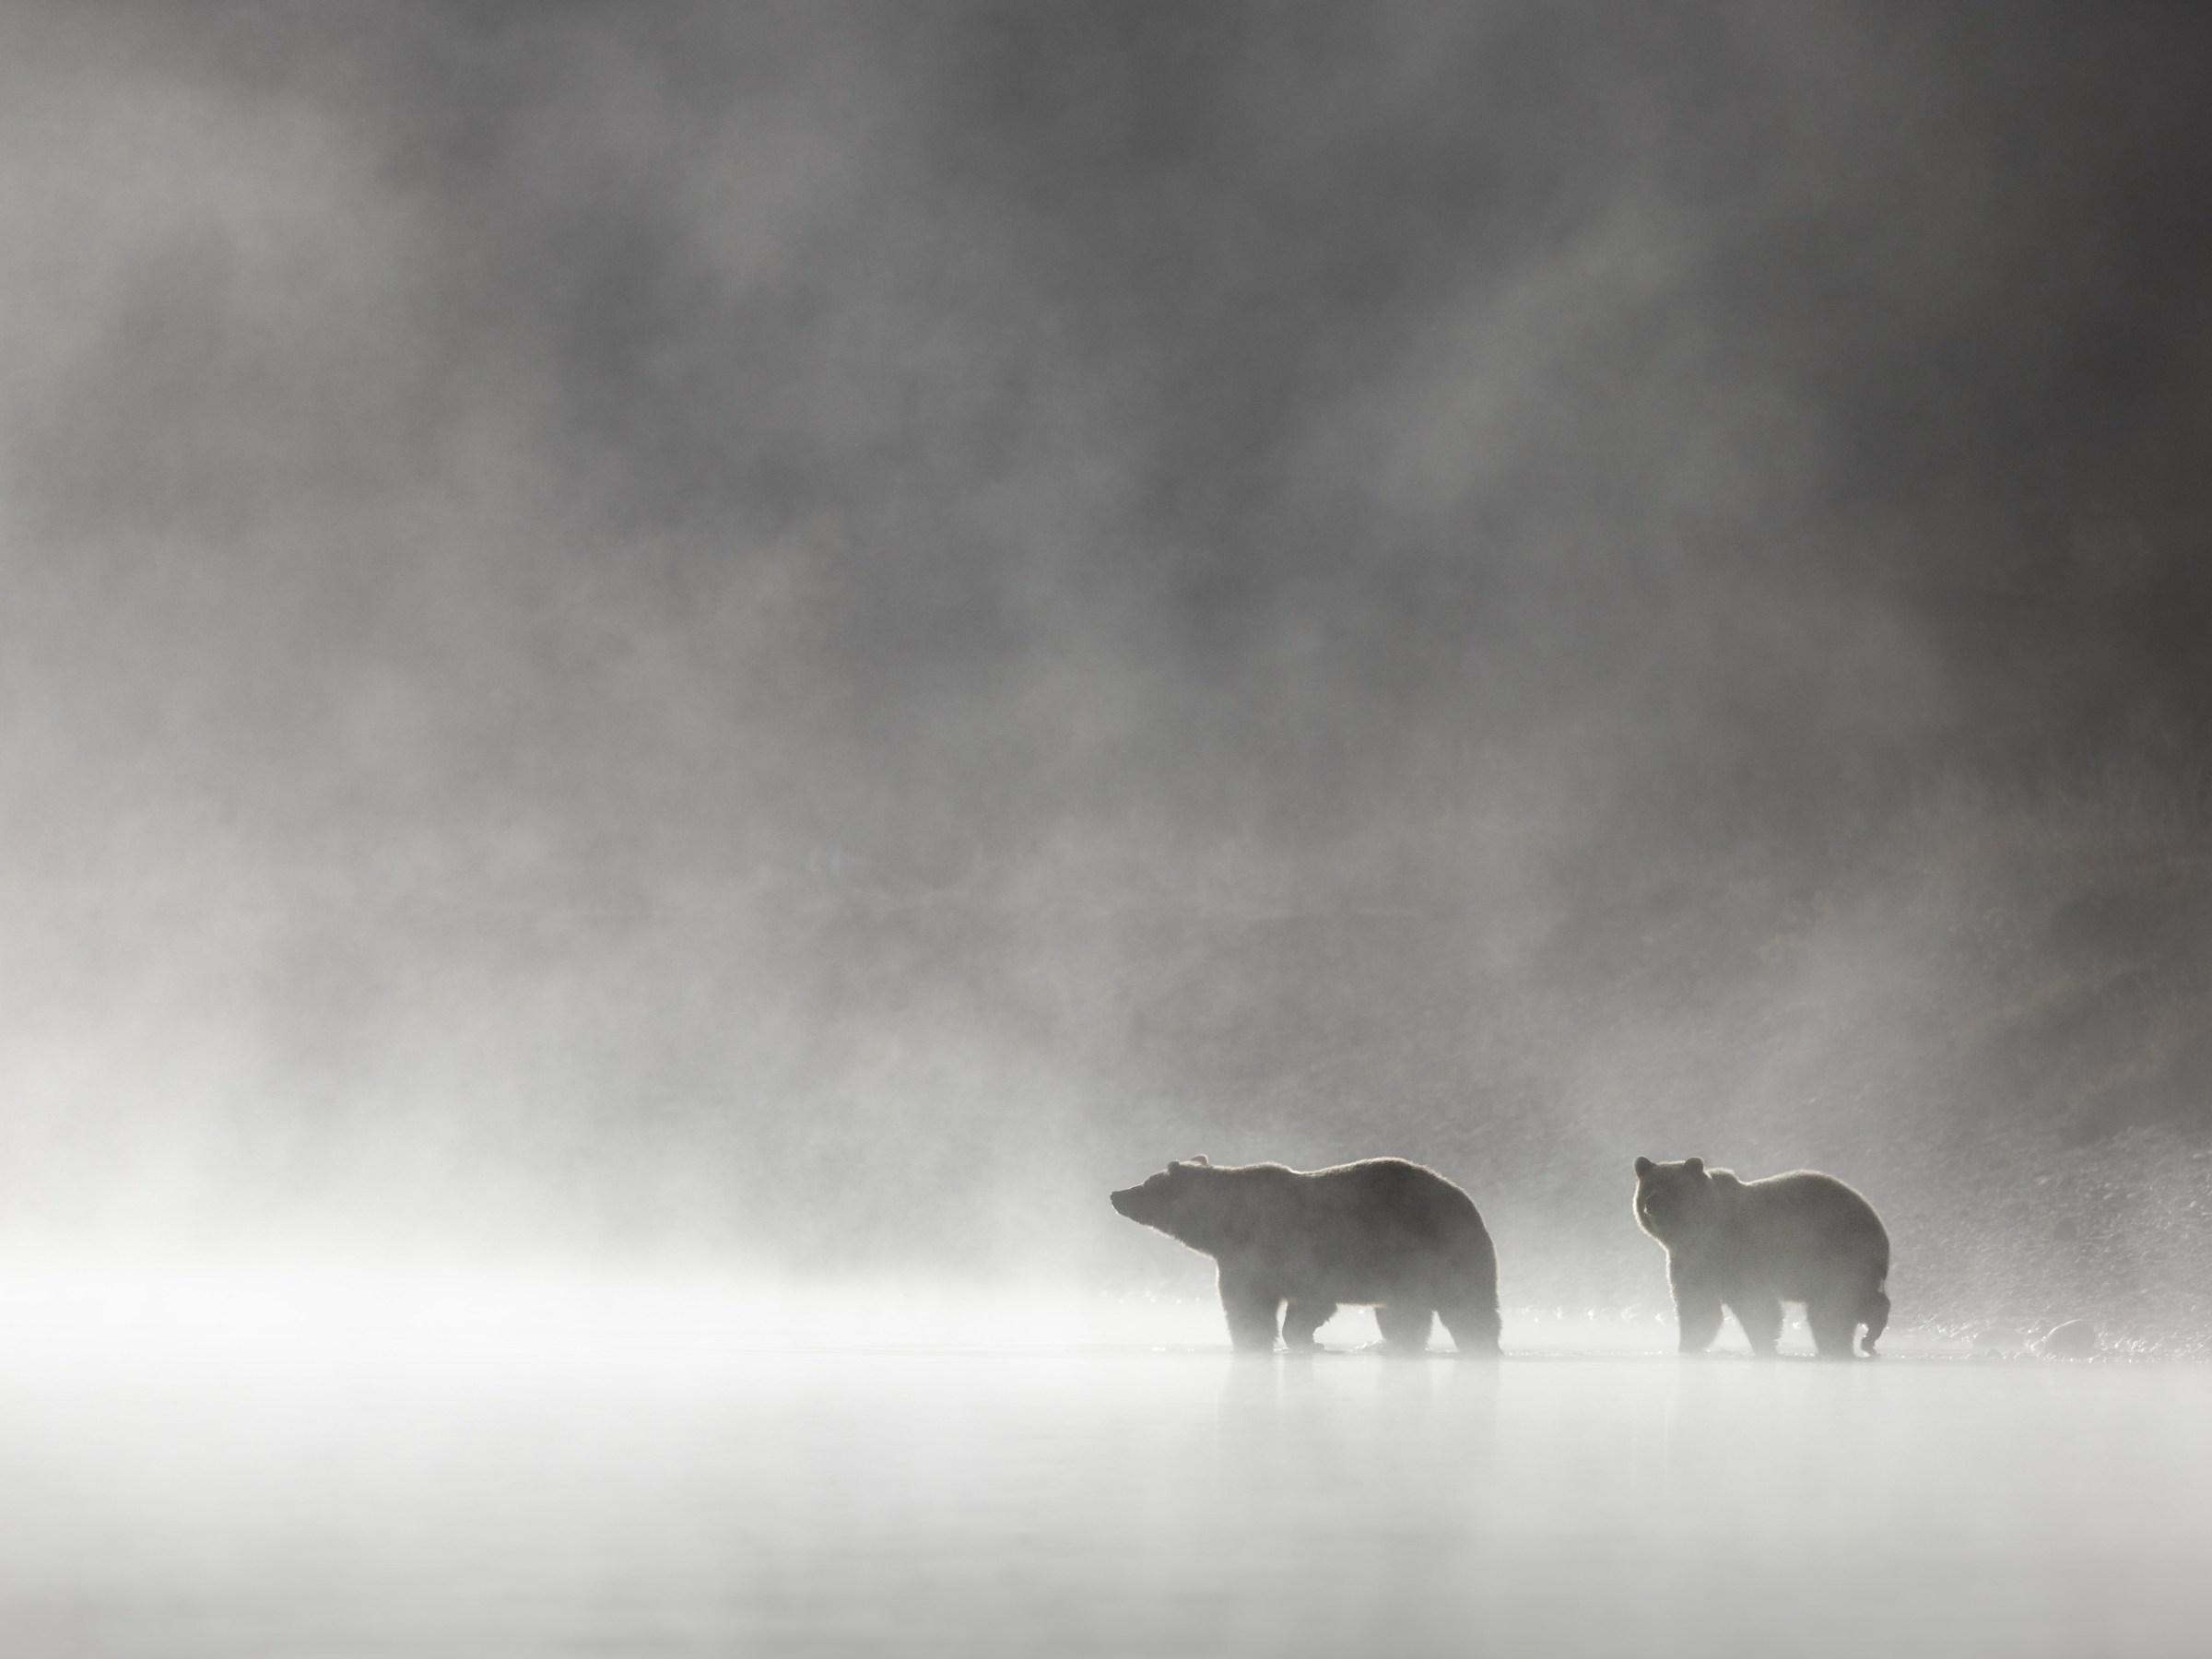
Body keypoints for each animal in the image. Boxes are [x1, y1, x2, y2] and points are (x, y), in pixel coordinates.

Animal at [1109, 1155, 1500, 1355]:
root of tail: (1469, 1203)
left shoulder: (1274, 1253)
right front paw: (1300, 1340)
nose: (1116, 1193)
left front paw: (1259, 1340)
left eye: (1147, 1183)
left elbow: (1252, 1305)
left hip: (1436, 1253)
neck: (1225, 1226)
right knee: (1403, 1315)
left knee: (1469, 1309)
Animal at [1632, 1156, 1891, 1359]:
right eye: (1649, 1185)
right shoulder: (1689, 1260)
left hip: (1839, 1254)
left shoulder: (1735, 1253)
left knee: (1837, 1306)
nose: (1652, 1202)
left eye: (1672, 1186)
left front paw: (1764, 1345)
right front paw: (1687, 1346)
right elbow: (1697, 1305)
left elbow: (1755, 1303)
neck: (1698, 1234)